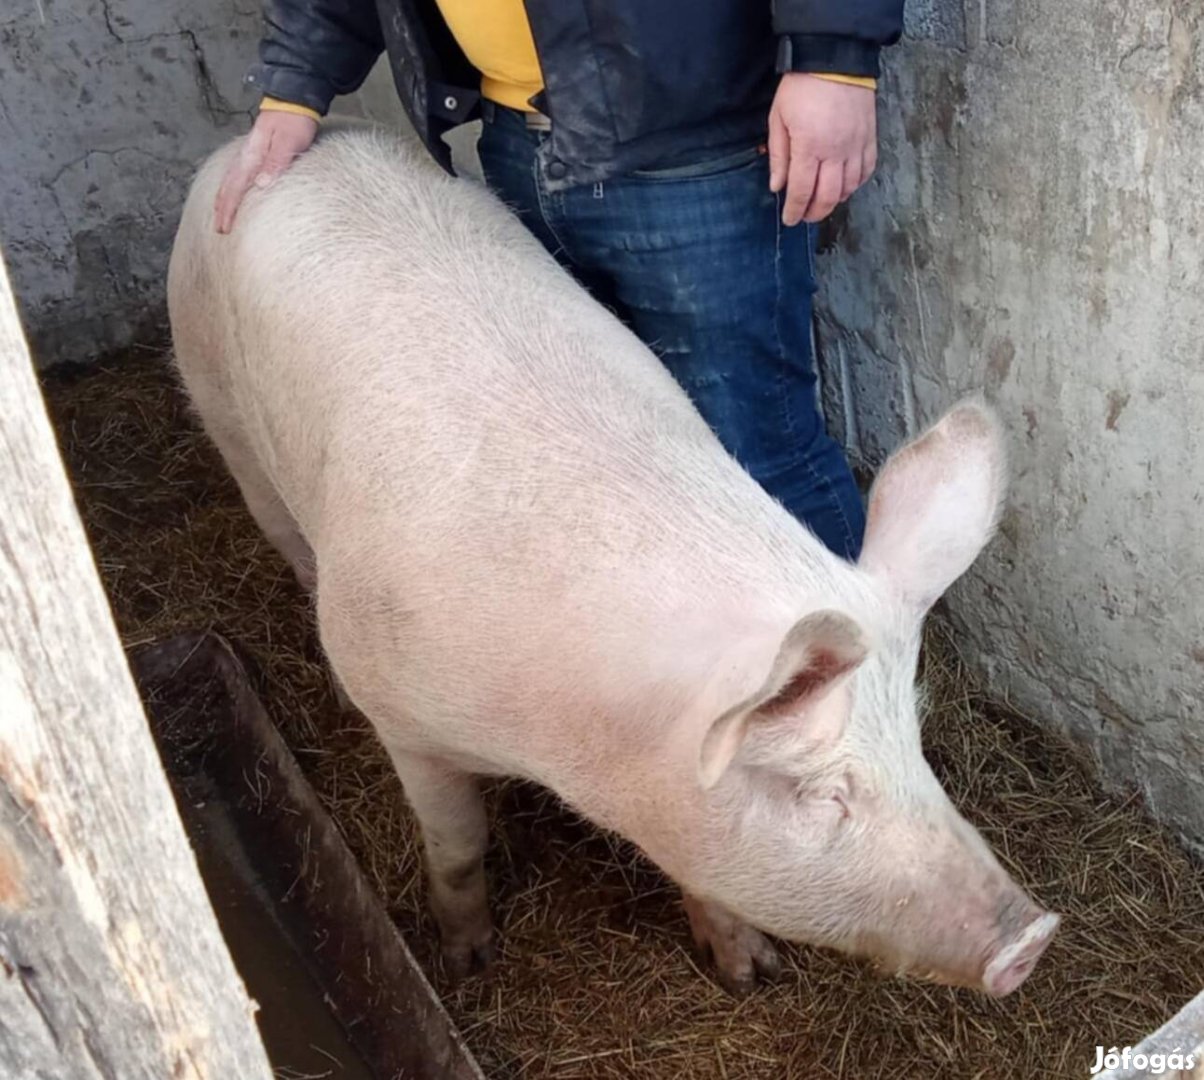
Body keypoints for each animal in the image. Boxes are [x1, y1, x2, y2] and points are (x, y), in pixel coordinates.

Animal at [167, 117, 1054, 992]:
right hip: (222, 409)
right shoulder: (404, 720)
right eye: (822, 791)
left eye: (916, 741)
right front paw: (464, 962)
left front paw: (746, 970)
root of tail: (244, 143)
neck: (579, 741)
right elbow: (457, 845)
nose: (1032, 936)